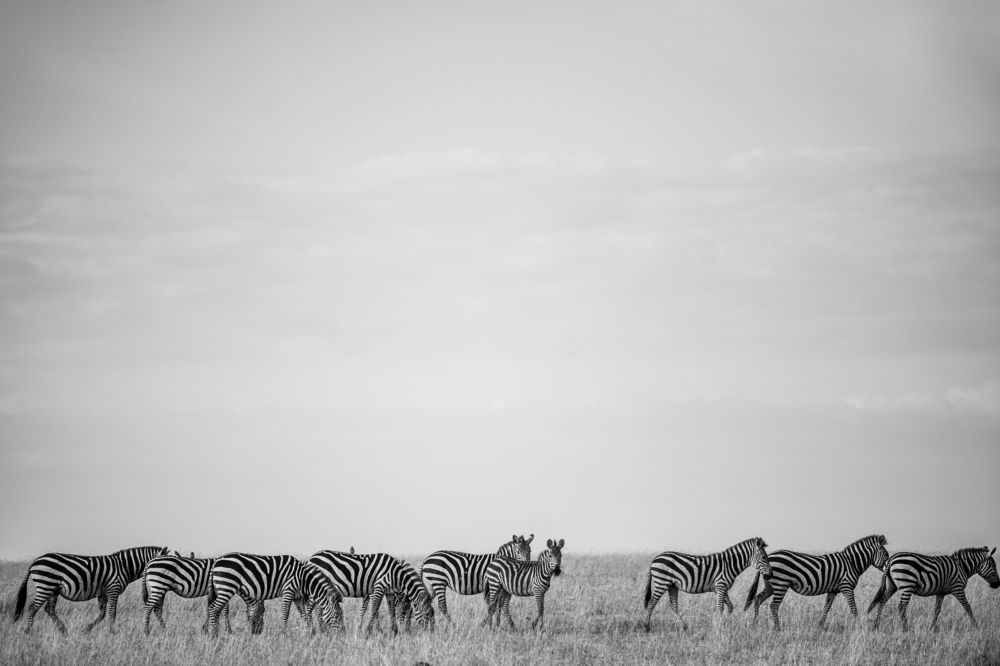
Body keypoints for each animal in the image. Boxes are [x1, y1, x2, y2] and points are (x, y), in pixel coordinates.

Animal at [12, 546, 169, 634]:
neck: (124, 566)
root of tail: (35, 561)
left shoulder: (103, 592)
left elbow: (102, 613)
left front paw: (87, 629)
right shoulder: (113, 588)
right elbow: (112, 612)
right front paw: (113, 632)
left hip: (53, 589)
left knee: (49, 609)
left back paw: (63, 631)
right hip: (45, 585)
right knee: (32, 607)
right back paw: (28, 631)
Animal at [206, 553, 343, 637]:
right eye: (337, 615)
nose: (342, 635)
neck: (304, 579)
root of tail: (216, 562)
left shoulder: (297, 597)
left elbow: (304, 615)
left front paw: (310, 633)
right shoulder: (288, 590)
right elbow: (285, 614)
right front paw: (284, 634)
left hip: (223, 589)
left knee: (217, 610)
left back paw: (216, 633)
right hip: (227, 586)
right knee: (213, 608)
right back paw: (213, 635)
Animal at [641, 537, 770, 631]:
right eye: (764, 557)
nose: (770, 574)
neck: (729, 565)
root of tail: (655, 558)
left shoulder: (721, 588)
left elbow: (729, 607)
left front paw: (721, 623)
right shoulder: (720, 586)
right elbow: (720, 607)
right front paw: (719, 626)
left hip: (672, 586)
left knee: (673, 606)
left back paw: (683, 626)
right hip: (661, 583)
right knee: (651, 603)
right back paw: (647, 626)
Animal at [744, 534, 889, 631]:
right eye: (886, 556)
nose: (889, 570)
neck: (851, 563)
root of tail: (769, 556)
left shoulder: (833, 590)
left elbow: (827, 607)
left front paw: (820, 625)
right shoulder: (846, 586)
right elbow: (853, 608)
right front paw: (858, 626)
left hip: (770, 585)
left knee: (757, 599)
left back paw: (755, 623)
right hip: (781, 584)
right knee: (773, 606)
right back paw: (777, 628)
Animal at [866, 546, 999, 631]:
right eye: (993, 565)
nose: (997, 584)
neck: (962, 567)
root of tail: (891, 559)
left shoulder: (941, 592)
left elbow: (937, 610)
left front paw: (932, 628)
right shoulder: (958, 588)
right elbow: (967, 607)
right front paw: (976, 626)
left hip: (891, 585)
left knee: (881, 602)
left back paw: (875, 626)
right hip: (907, 586)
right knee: (901, 607)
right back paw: (905, 629)